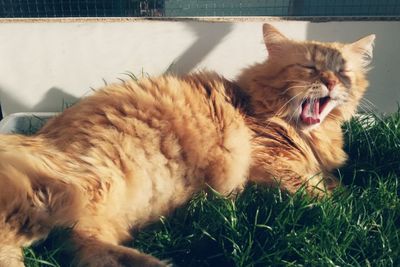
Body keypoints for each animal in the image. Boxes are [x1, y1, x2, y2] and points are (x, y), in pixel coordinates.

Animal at [0, 24, 376, 266]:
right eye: (309, 67)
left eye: (343, 72)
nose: (331, 82)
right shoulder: (275, 168)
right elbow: (332, 200)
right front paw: (358, 209)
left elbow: (333, 183)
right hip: (74, 187)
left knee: (79, 244)